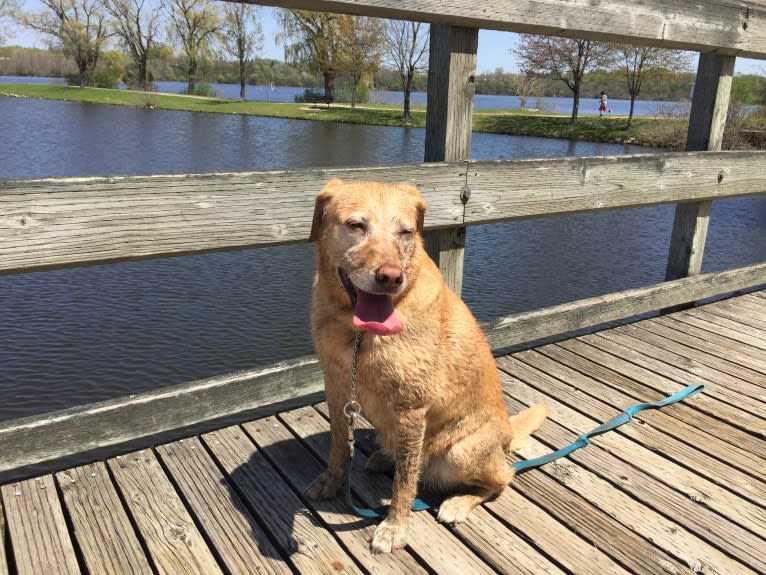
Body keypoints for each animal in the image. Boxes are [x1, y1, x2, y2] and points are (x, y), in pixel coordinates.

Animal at [306, 180, 544, 552]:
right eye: (356, 225)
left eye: (405, 232)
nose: (391, 277)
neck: (358, 334)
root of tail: (507, 434)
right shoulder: (337, 386)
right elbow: (338, 445)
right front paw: (330, 481)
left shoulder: (411, 408)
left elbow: (404, 482)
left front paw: (394, 528)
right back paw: (383, 457)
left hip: (460, 451)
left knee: (503, 477)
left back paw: (457, 502)